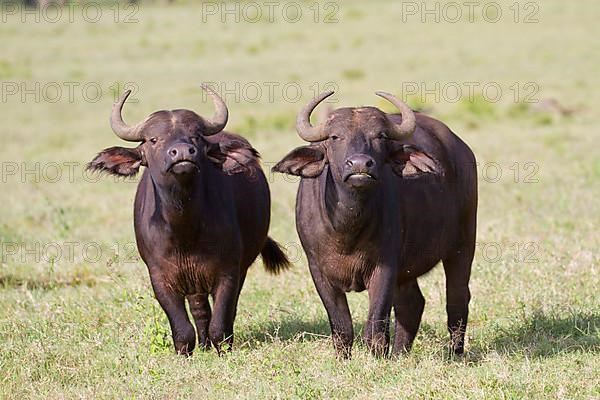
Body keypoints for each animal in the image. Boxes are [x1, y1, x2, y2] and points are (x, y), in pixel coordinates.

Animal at [88, 86, 290, 354]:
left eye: (195, 137)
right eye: (153, 139)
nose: (183, 152)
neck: (184, 229)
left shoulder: (229, 271)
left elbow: (221, 321)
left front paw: (222, 348)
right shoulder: (160, 277)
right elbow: (183, 328)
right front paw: (187, 350)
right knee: (199, 309)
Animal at [274, 92, 476, 358]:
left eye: (379, 136)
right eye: (334, 137)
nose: (360, 164)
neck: (346, 229)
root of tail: (461, 150)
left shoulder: (385, 267)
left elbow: (376, 326)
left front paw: (377, 357)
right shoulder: (318, 270)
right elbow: (342, 327)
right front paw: (344, 359)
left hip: (462, 245)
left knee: (457, 299)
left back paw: (455, 353)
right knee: (412, 304)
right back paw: (400, 354)